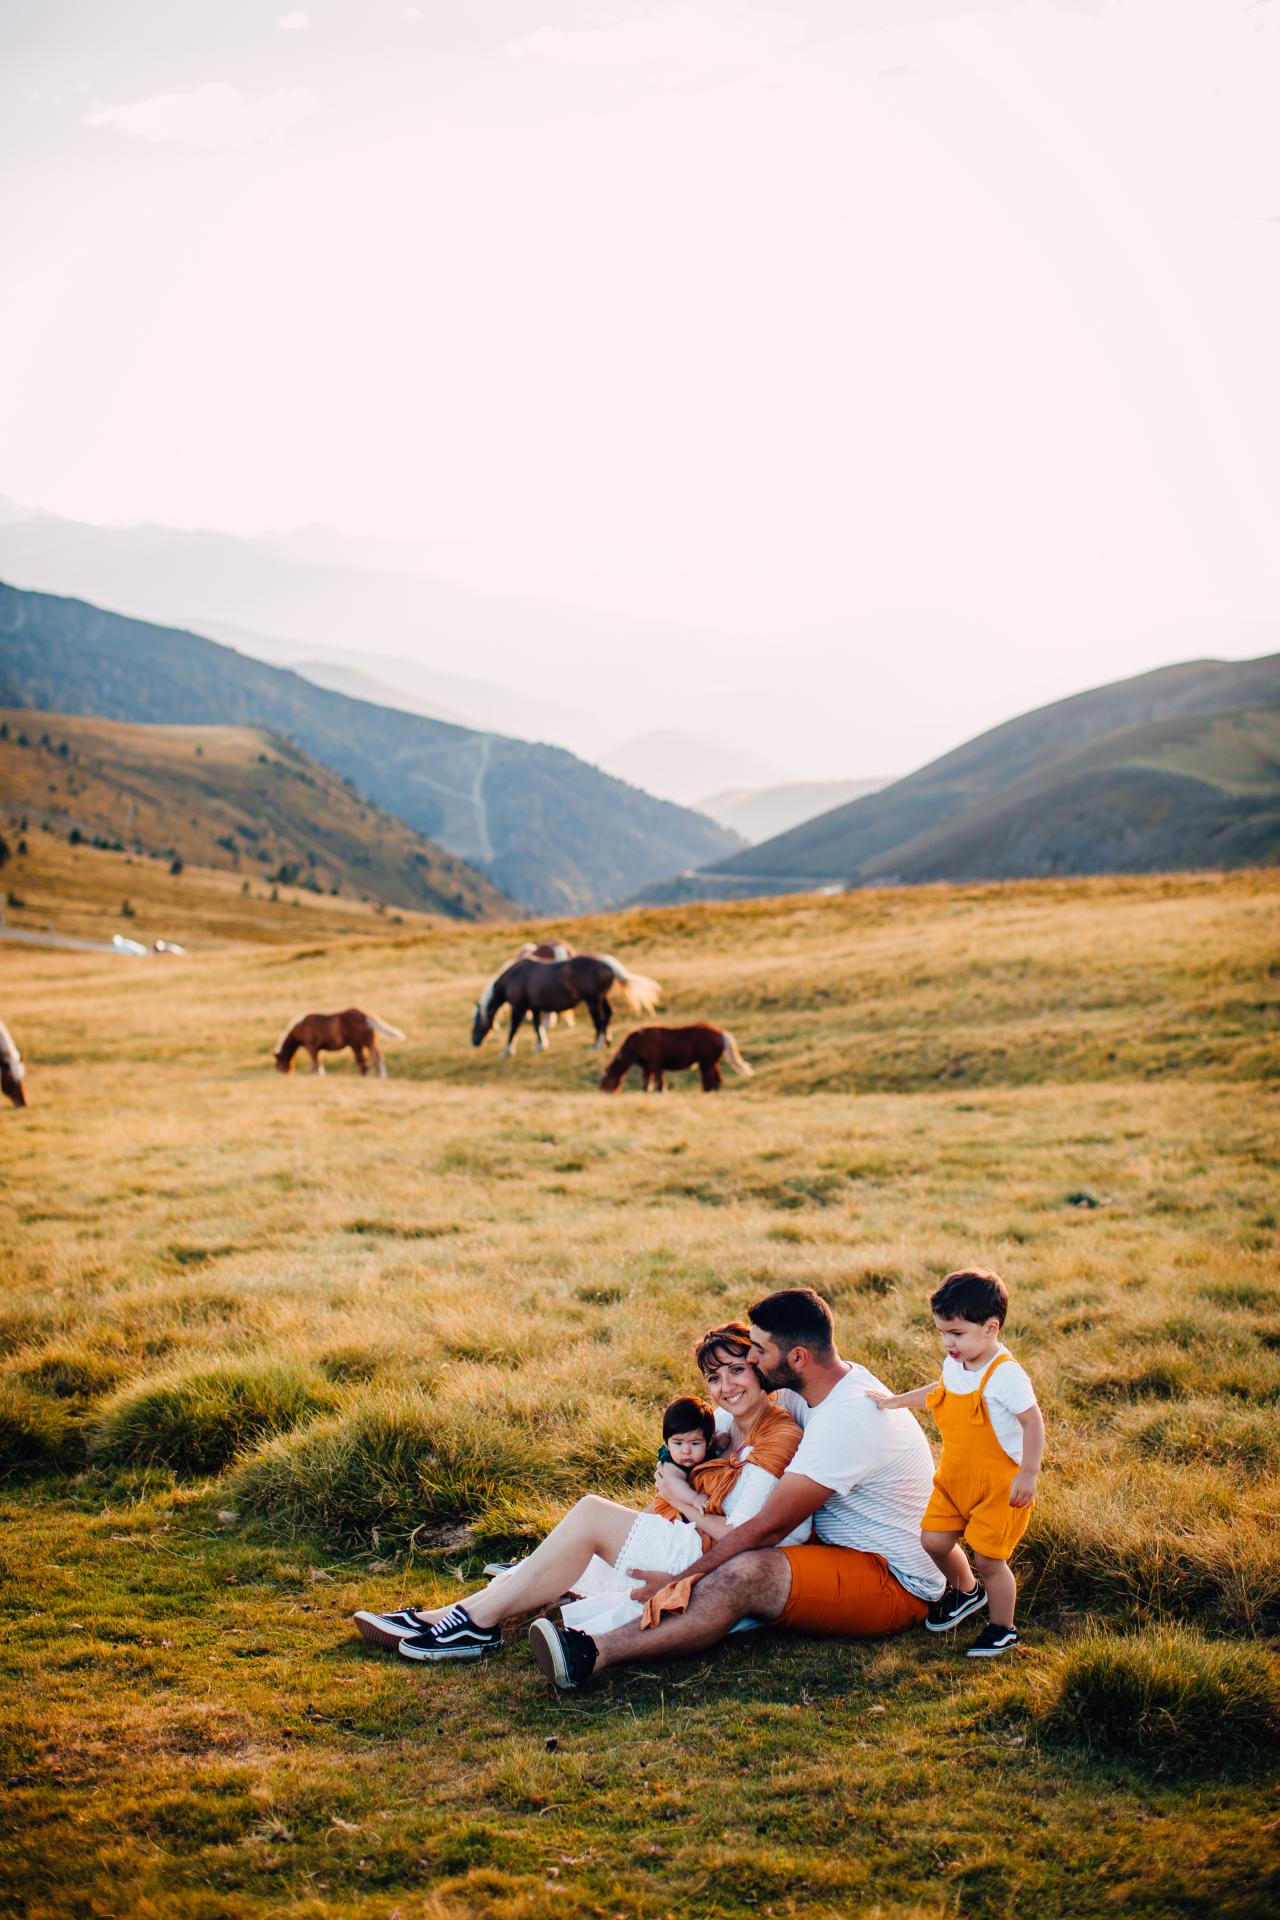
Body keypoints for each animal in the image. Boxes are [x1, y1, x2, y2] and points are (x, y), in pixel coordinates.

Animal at [276, 1006, 404, 1082]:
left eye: (278, 1063)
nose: (283, 1073)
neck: (300, 1027)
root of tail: (366, 1016)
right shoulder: (317, 1048)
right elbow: (317, 1061)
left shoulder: (311, 1046)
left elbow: (316, 1062)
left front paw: (317, 1074)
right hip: (369, 1043)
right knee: (377, 1058)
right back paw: (380, 1076)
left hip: (356, 1045)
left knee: (363, 1062)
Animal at [475, 952, 667, 1059]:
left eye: (476, 1023)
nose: (475, 1042)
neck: (513, 977)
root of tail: (604, 963)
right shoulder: (534, 1006)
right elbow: (537, 1026)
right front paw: (540, 1045)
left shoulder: (519, 1006)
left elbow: (514, 1028)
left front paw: (506, 1052)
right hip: (601, 997)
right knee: (608, 1014)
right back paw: (606, 1040)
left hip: (592, 1000)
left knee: (599, 1020)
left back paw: (597, 1045)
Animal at [598, 1021, 752, 1098]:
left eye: (606, 1081)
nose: (602, 1093)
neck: (638, 1042)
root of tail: (721, 1033)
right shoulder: (647, 1067)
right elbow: (646, 1083)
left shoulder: (656, 1065)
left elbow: (659, 1082)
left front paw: (661, 1092)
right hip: (711, 1062)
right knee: (716, 1080)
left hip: (706, 1063)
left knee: (709, 1080)